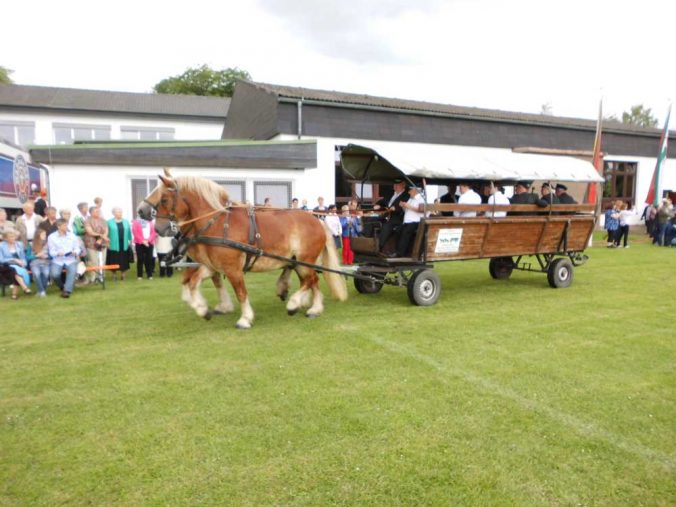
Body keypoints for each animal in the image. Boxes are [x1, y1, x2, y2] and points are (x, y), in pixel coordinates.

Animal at [137, 169, 347, 328]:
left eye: (164, 199)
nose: (158, 228)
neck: (215, 223)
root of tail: (317, 221)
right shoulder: (212, 265)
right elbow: (191, 281)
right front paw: (203, 309)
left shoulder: (232, 269)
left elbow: (240, 292)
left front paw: (245, 318)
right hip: (299, 261)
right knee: (312, 281)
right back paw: (313, 308)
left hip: (305, 260)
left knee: (311, 280)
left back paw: (295, 304)